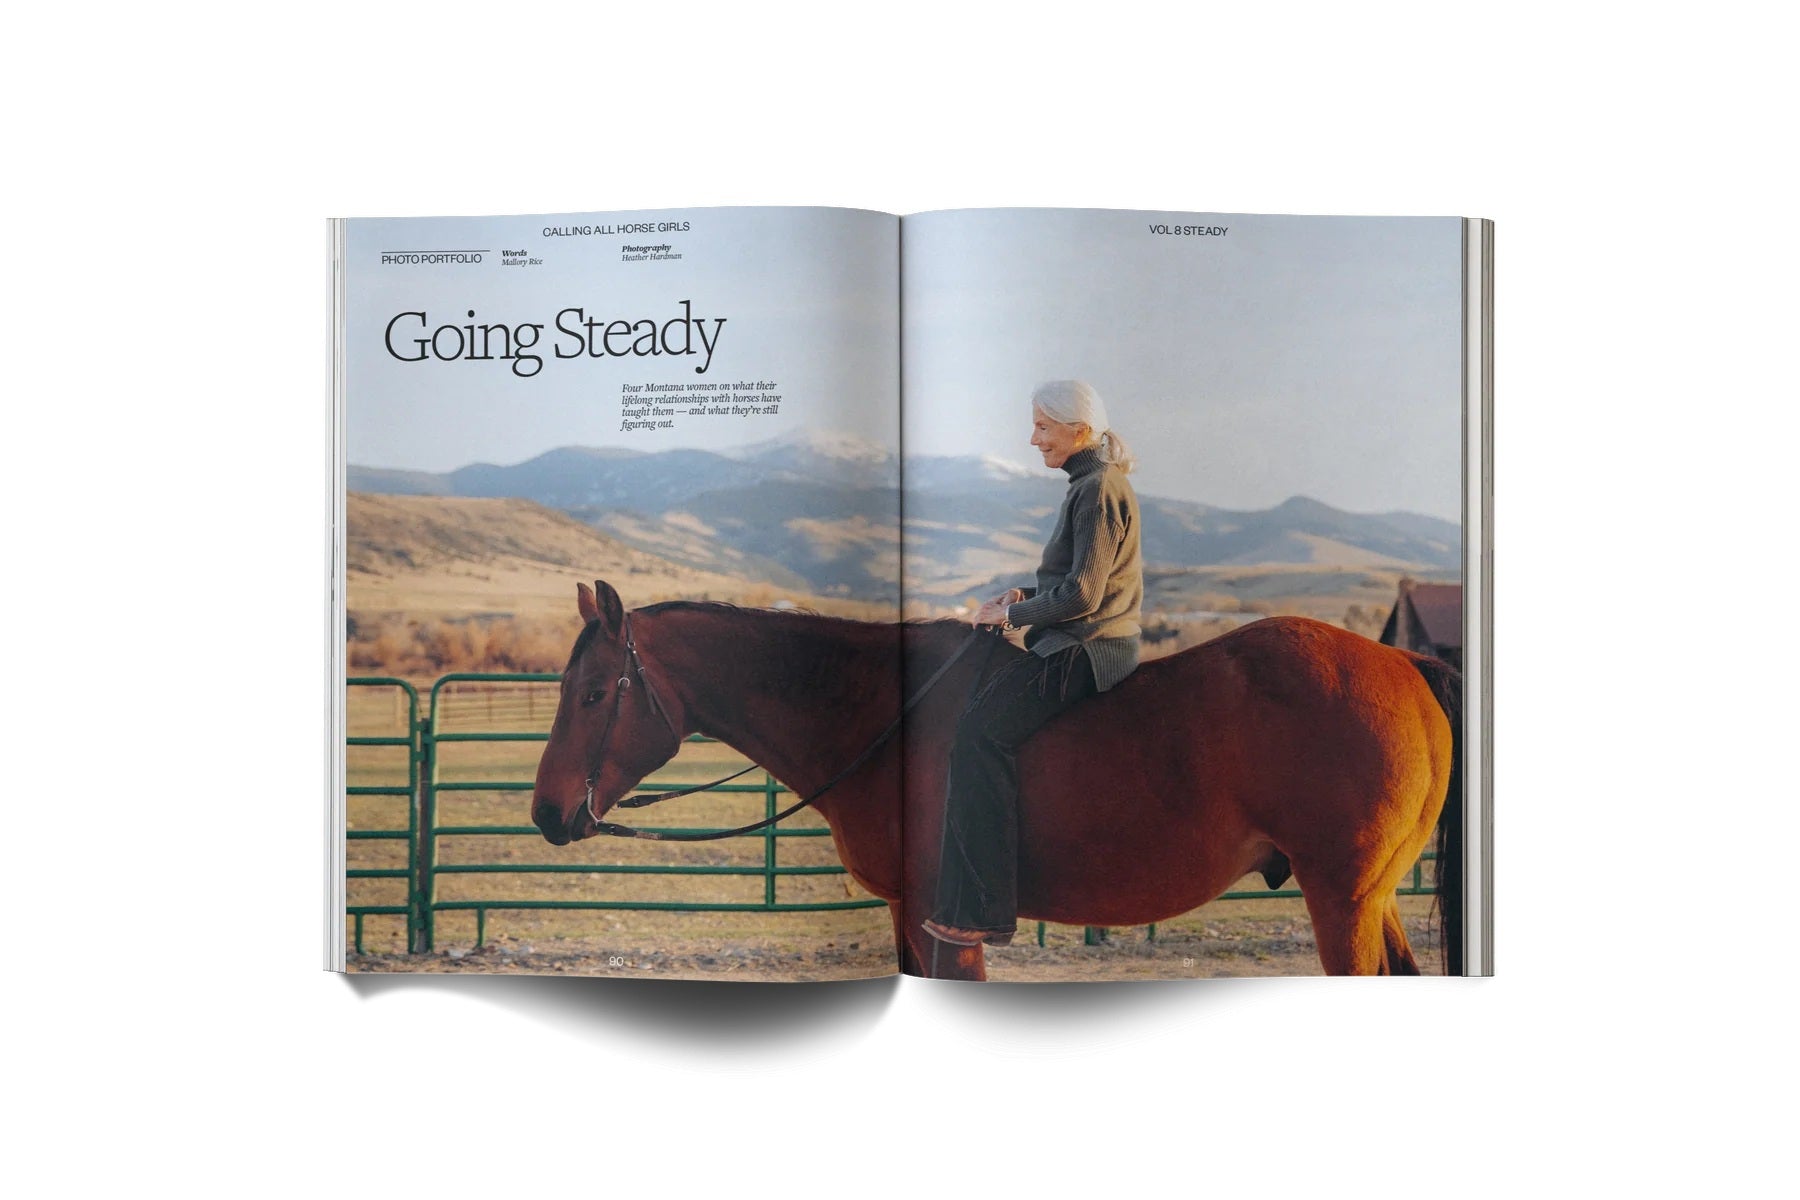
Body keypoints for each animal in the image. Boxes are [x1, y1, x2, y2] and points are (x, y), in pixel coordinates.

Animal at [532, 579, 1463, 979]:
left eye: (592, 693)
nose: (546, 812)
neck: (882, 713)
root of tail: (1402, 664)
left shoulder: (949, 922)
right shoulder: (911, 915)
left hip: (1342, 899)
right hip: (1369, 897)